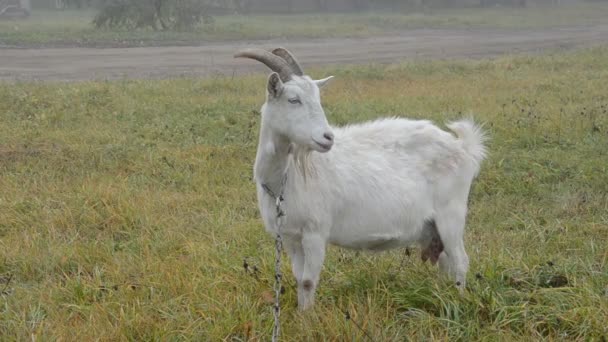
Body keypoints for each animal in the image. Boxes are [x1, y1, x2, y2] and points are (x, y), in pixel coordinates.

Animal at [235, 46, 486, 312]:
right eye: (293, 99)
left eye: (318, 98)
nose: (327, 138)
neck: (285, 178)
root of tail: (463, 147)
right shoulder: (292, 238)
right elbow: (298, 277)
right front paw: (302, 313)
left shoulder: (316, 232)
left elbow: (308, 281)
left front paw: (308, 316)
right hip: (434, 227)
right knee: (446, 262)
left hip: (452, 214)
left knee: (460, 261)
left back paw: (458, 301)